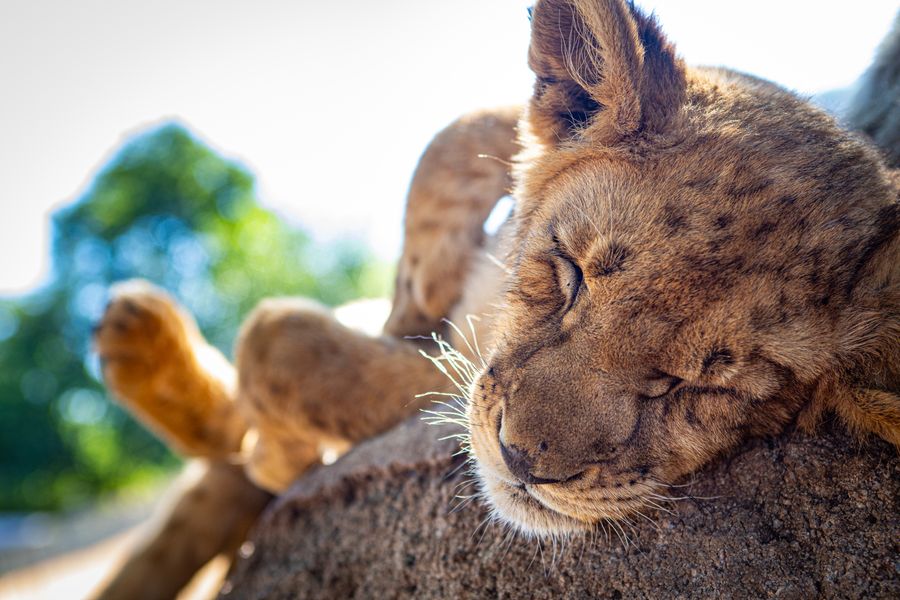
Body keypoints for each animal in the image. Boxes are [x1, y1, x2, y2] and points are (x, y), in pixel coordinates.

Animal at [91, 1, 899, 597]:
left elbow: (281, 341)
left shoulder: (443, 386)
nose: (522, 462)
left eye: (704, 385)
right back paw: (134, 338)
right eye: (570, 273)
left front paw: (282, 451)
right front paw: (416, 283)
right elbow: (468, 128)